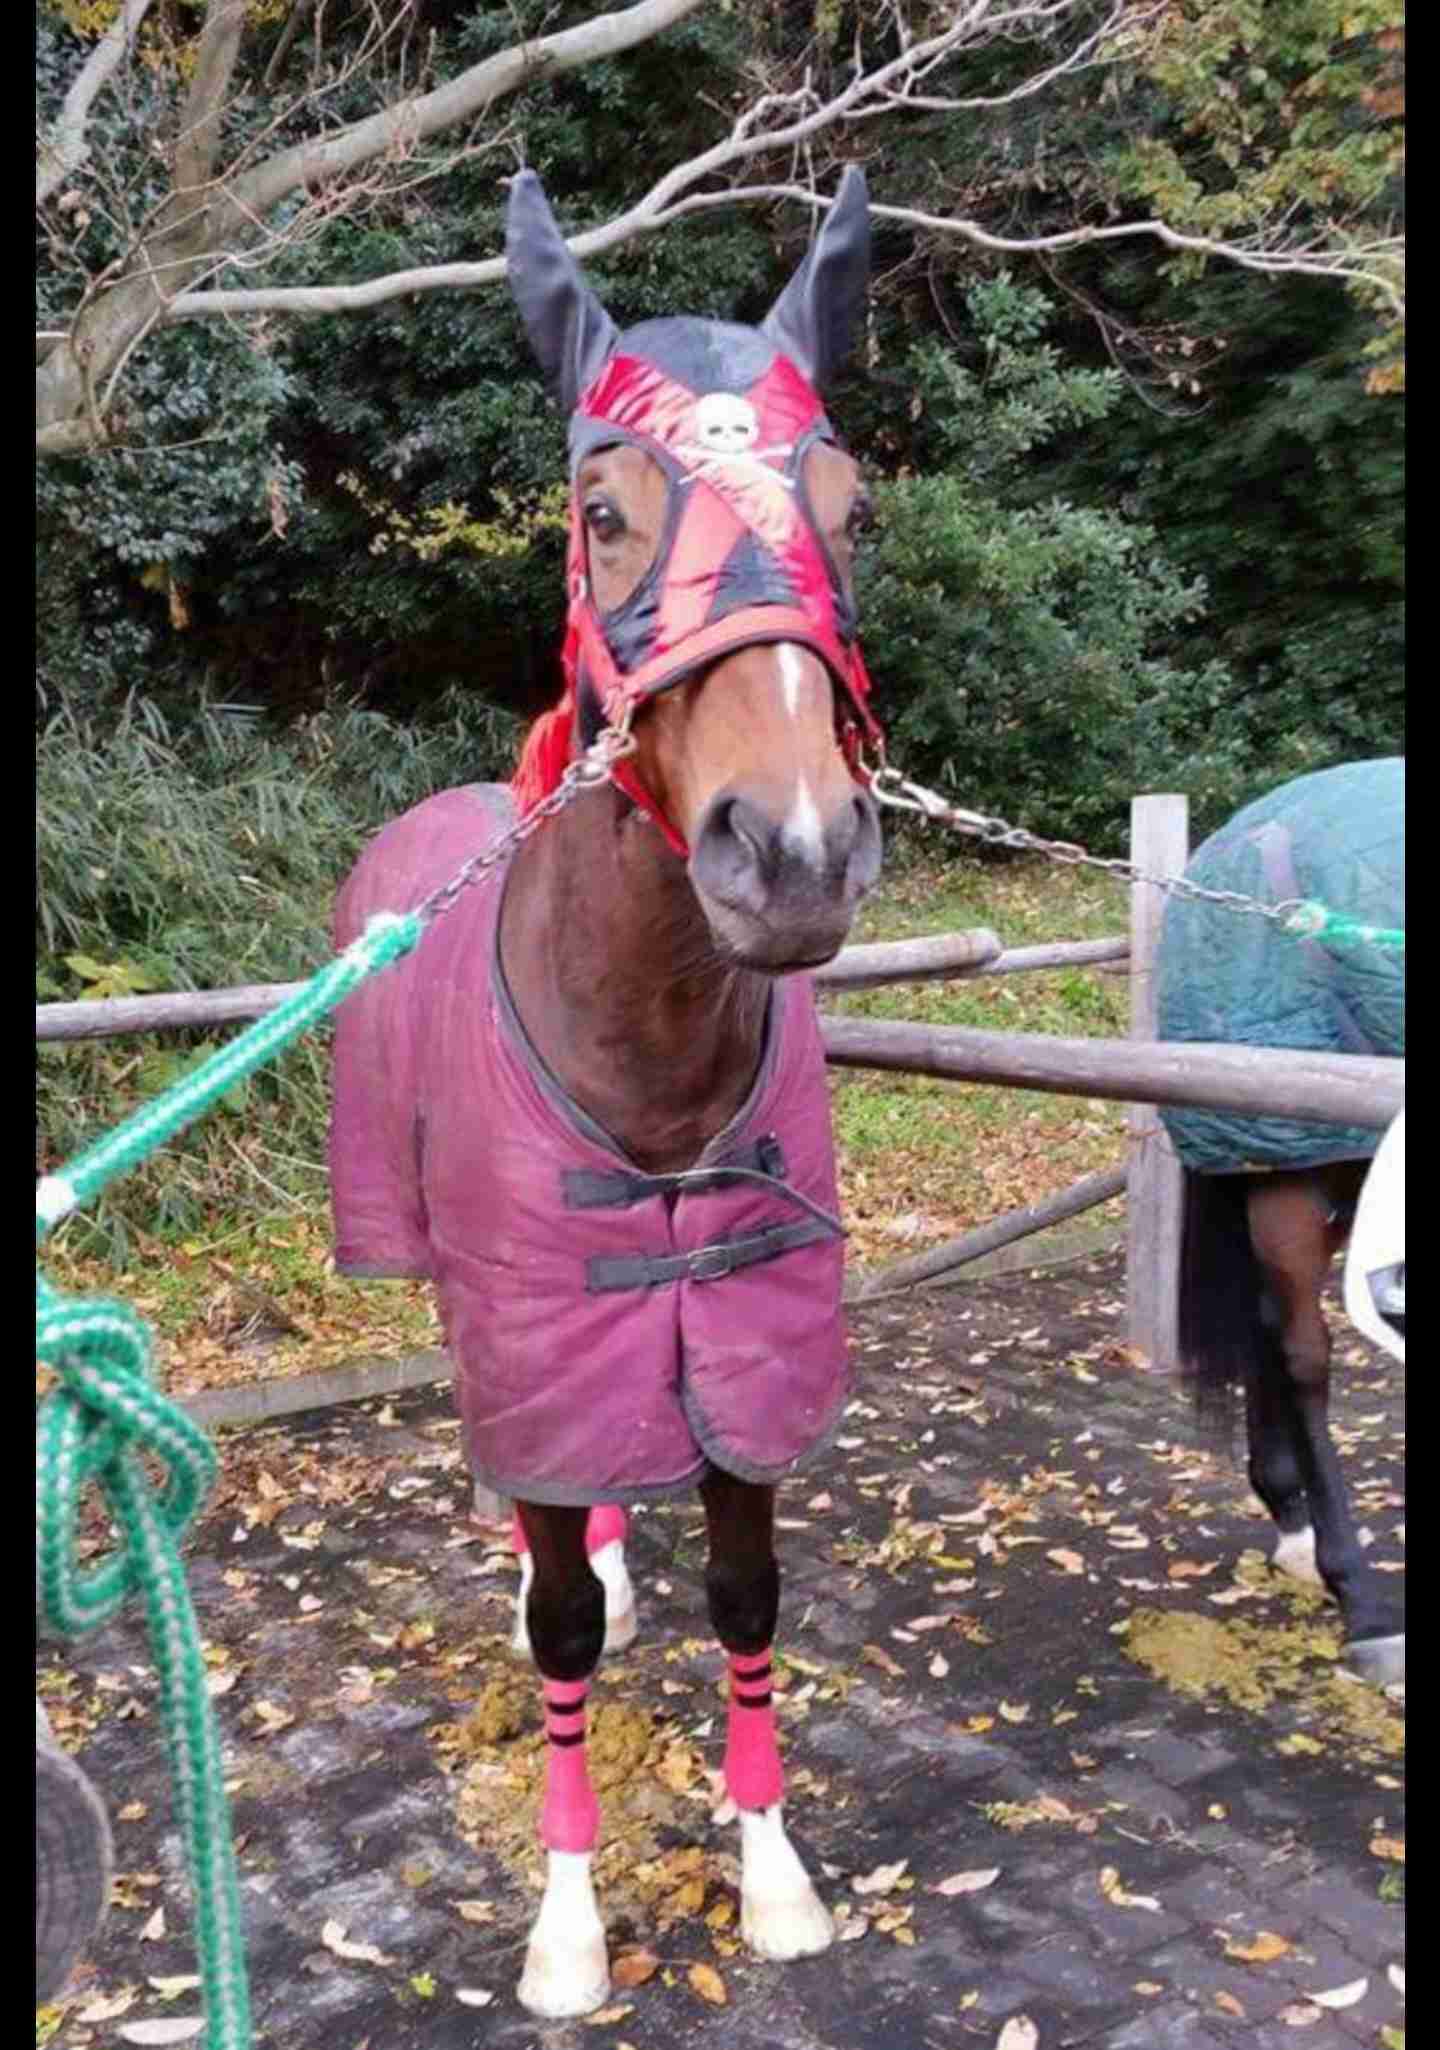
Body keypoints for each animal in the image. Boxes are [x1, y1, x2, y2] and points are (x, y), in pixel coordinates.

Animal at [330, 167, 883, 2018]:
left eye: (850, 507)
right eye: (603, 506)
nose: (793, 852)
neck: (637, 1033)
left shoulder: (739, 1354)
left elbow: (747, 1593)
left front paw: (772, 1869)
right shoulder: (532, 1325)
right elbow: (565, 1617)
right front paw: (569, 1923)